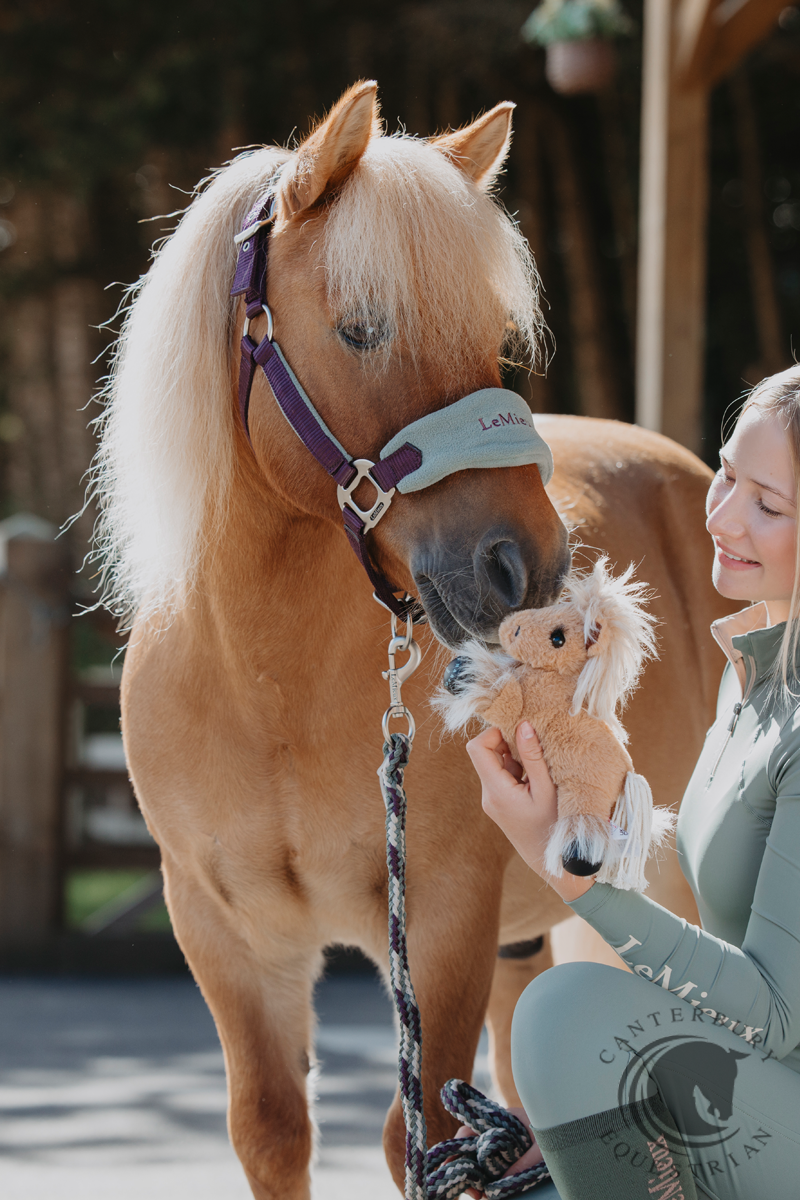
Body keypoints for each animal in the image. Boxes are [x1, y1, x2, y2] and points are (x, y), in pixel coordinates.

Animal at [95, 81, 730, 1199]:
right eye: (359, 328)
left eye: (494, 336)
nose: (527, 567)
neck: (268, 686)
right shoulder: (224, 935)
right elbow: (272, 1127)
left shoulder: (440, 923)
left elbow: (418, 1135)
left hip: (656, 894)